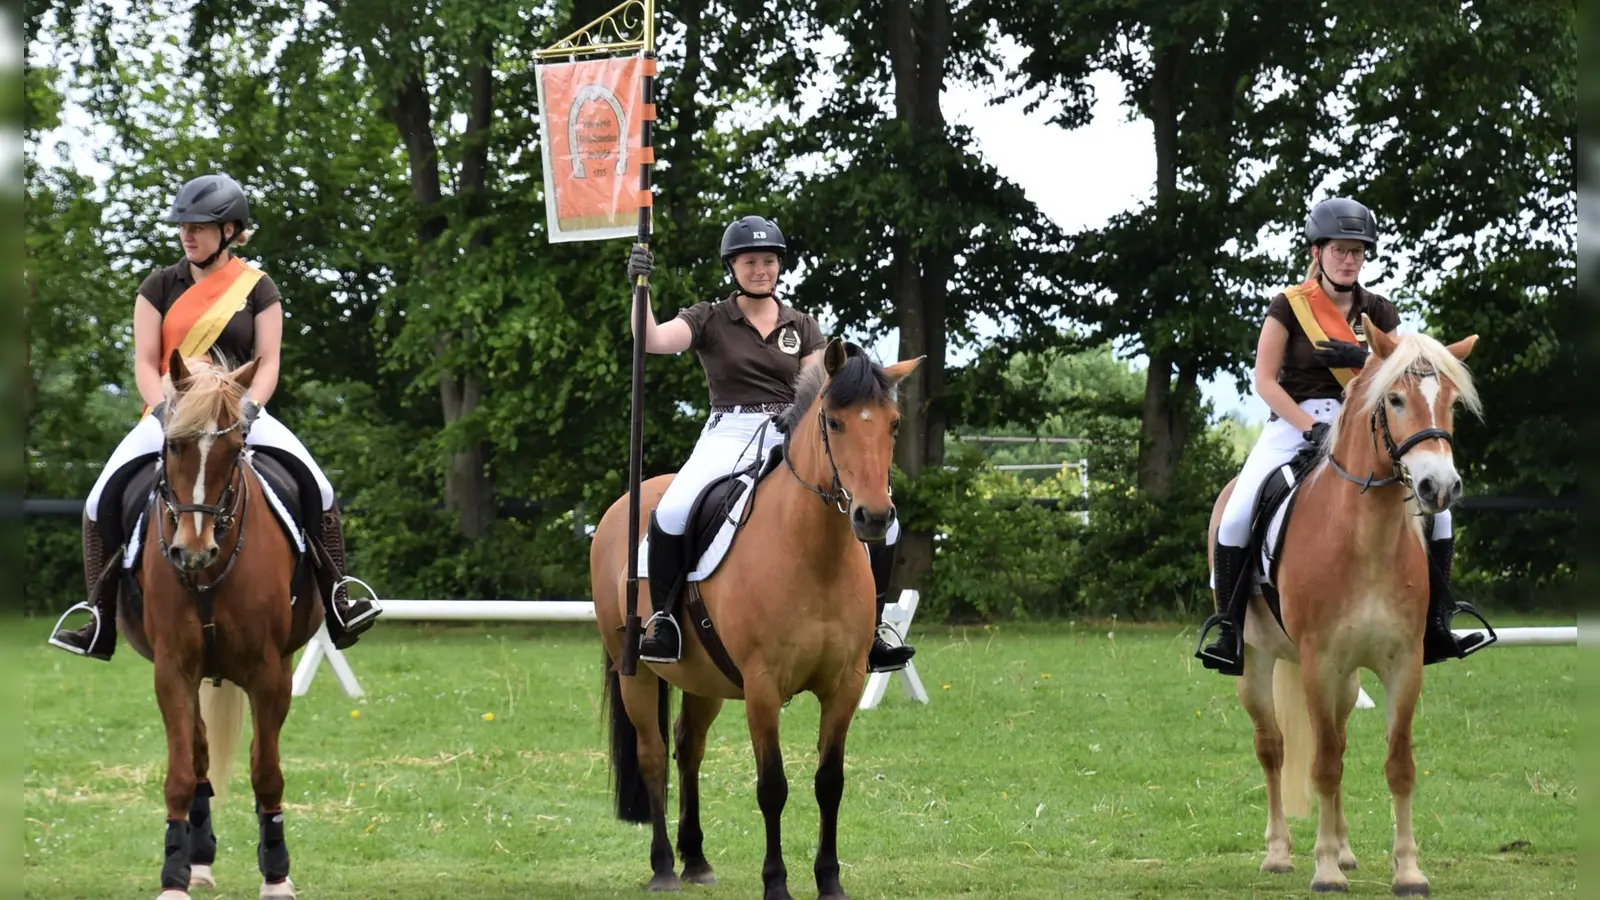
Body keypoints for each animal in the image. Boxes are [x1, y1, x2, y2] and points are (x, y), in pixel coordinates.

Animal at [129, 350, 323, 896]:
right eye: (174, 445)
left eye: (236, 449)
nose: (193, 551)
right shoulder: (171, 670)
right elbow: (180, 772)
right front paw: (173, 874)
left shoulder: (268, 671)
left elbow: (267, 772)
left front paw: (277, 873)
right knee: (198, 758)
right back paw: (197, 860)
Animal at [592, 337, 921, 896]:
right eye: (834, 422)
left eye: (893, 424)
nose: (874, 518)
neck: (813, 554)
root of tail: (624, 507)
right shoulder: (763, 688)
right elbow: (773, 787)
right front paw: (776, 882)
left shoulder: (846, 684)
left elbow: (829, 783)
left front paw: (829, 880)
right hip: (634, 671)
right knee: (654, 754)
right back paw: (664, 867)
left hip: (704, 680)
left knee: (689, 747)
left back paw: (696, 859)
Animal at [1209, 315, 1484, 890]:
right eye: (1395, 399)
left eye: (1450, 401)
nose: (1440, 487)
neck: (1367, 539)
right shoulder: (1319, 662)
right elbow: (1323, 764)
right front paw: (1325, 869)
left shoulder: (1403, 663)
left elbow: (1397, 764)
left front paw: (1408, 870)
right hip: (1258, 662)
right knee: (1274, 747)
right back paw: (1280, 853)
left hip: (1349, 678)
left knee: (1334, 740)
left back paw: (1345, 847)